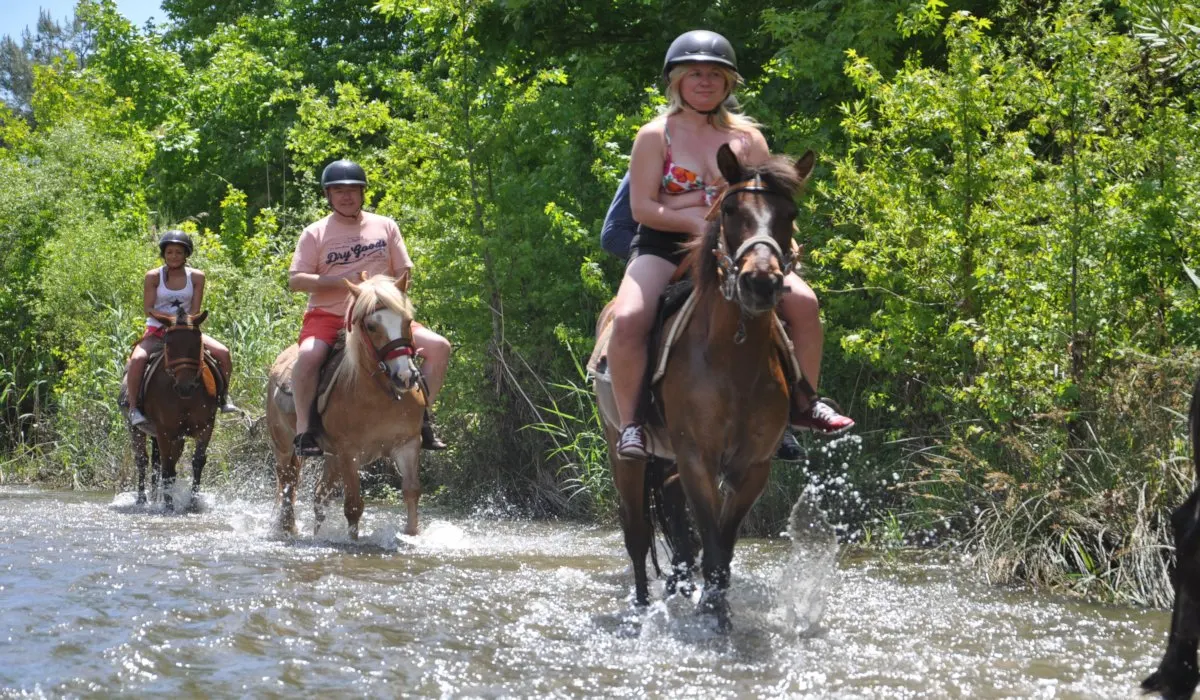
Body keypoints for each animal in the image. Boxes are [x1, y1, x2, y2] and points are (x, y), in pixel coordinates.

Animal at [123, 308, 218, 512]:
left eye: (197, 343)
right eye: (169, 344)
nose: (185, 387)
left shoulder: (206, 426)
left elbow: (197, 462)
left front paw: (193, 503)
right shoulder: (164, 430)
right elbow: (166, 467)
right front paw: (168, 506)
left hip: (177, 437)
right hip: (135, 428)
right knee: (142, 460)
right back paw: (142, 500)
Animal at [266, 273, 425, 540]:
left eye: (408, 320)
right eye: (371, 326)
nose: (405, 377)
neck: (380, 396)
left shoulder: (408, 444)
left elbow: (411, 492)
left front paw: (411, 534)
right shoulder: (349, 452)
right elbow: (353, 505)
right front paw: (352, 541)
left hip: (331, 457)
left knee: (319, 495)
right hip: (284, 447)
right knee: (289, 482)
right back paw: (287, 527)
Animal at [595, 144, 814, 629]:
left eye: (789, 213)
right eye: (731, 210)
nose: (760, 281)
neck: (732, 360)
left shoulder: (752, 466)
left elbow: (723, 547)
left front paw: (716, 608)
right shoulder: (697, 458)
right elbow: (710, 543)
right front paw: (714, 619)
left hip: (667, 458)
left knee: (673, 526)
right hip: (623, 451)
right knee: (636, 532)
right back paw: (642, 605)